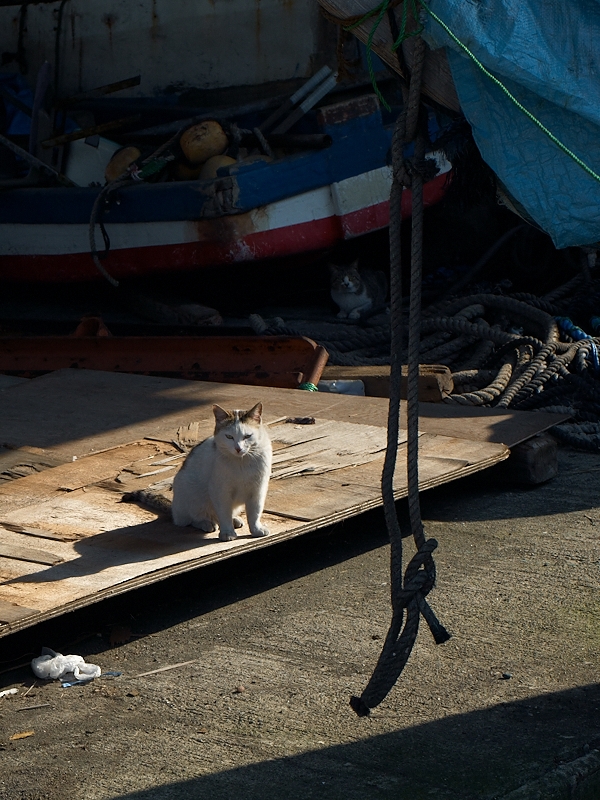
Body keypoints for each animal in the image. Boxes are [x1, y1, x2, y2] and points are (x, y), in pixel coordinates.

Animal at [170, 404, 270, 540]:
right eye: (229, 437)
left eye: (247, 436)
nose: (238, 448)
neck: (242, 462)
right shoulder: (220, 491)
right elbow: (224, 513)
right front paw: (227, 533)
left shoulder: (258, 489)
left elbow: (255, 512)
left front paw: (256, 530)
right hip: (191, 496)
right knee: (190, 519)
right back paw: (207, 523)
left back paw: (234, 520)